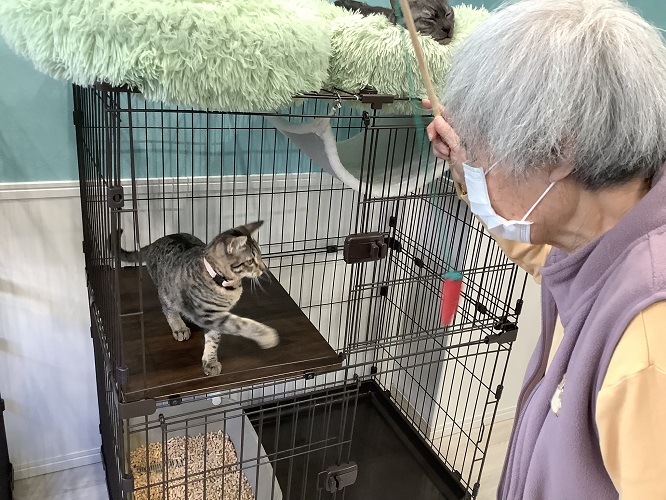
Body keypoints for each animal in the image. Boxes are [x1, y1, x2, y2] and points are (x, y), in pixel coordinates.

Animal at [117, 221, 279, 376]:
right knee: (167, 308)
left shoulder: (215, 316)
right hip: (166, 291)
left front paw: (210, 361)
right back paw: (179, 326)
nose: (264, 268)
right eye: (250, 261)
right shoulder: (207, 314)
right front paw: (267, 336)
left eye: (261, 255)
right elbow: (241, 324)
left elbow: (213, 339)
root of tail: (154, 242)